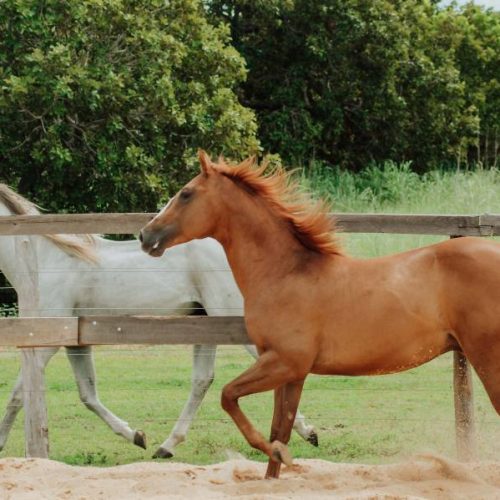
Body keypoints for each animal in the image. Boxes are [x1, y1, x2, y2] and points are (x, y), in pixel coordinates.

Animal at [0, 184, 316, 458]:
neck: (42, 260)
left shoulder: (44, 341)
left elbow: (17, 394)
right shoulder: (75, 342)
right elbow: (88, 394)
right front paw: (137, 436)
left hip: (230, 315)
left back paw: (306, 432)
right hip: (206, 322)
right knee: (202, 379)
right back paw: (166, 447)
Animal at [140, 151, 500, 476]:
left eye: (186, 193)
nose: (146, 235)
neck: (285, 273)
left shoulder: (285, 361)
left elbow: (230, 397)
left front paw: (281, 454)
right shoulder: (291, 372)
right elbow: (279, 430)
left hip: (487, 359)